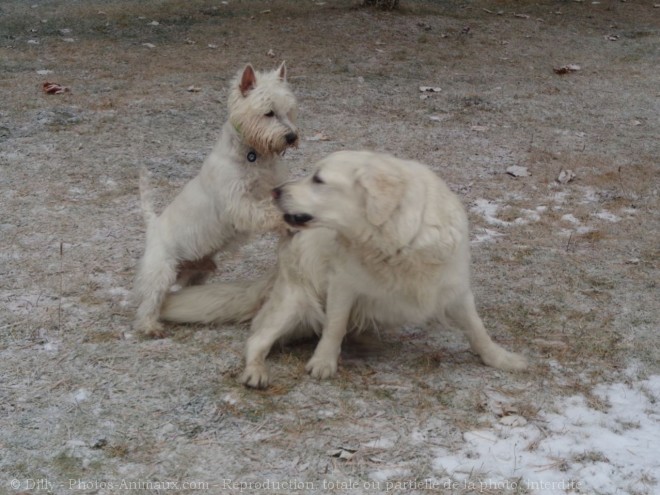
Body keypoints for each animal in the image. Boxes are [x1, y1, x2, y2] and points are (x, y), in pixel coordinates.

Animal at [133, 63, 298, 338]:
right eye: (268, 112)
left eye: (289, 111)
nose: (292, 136)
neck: (252, 154)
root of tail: (153, 224)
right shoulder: (239, 202)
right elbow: (264, 211)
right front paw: (282, 219)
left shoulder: (273, 184)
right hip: (161, 269)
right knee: (150, 300)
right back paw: (150, 326)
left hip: (195, 273)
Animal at [162, 151, 528, 388]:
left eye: (318, 179)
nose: (275, 191)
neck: (397, 239)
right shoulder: (342, 285)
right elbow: (334, 326)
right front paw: (324, 362)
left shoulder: (454, 289)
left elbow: (477, 329)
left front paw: (500, 358)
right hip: (295, 302)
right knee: (257, 339)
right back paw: (256, 372)